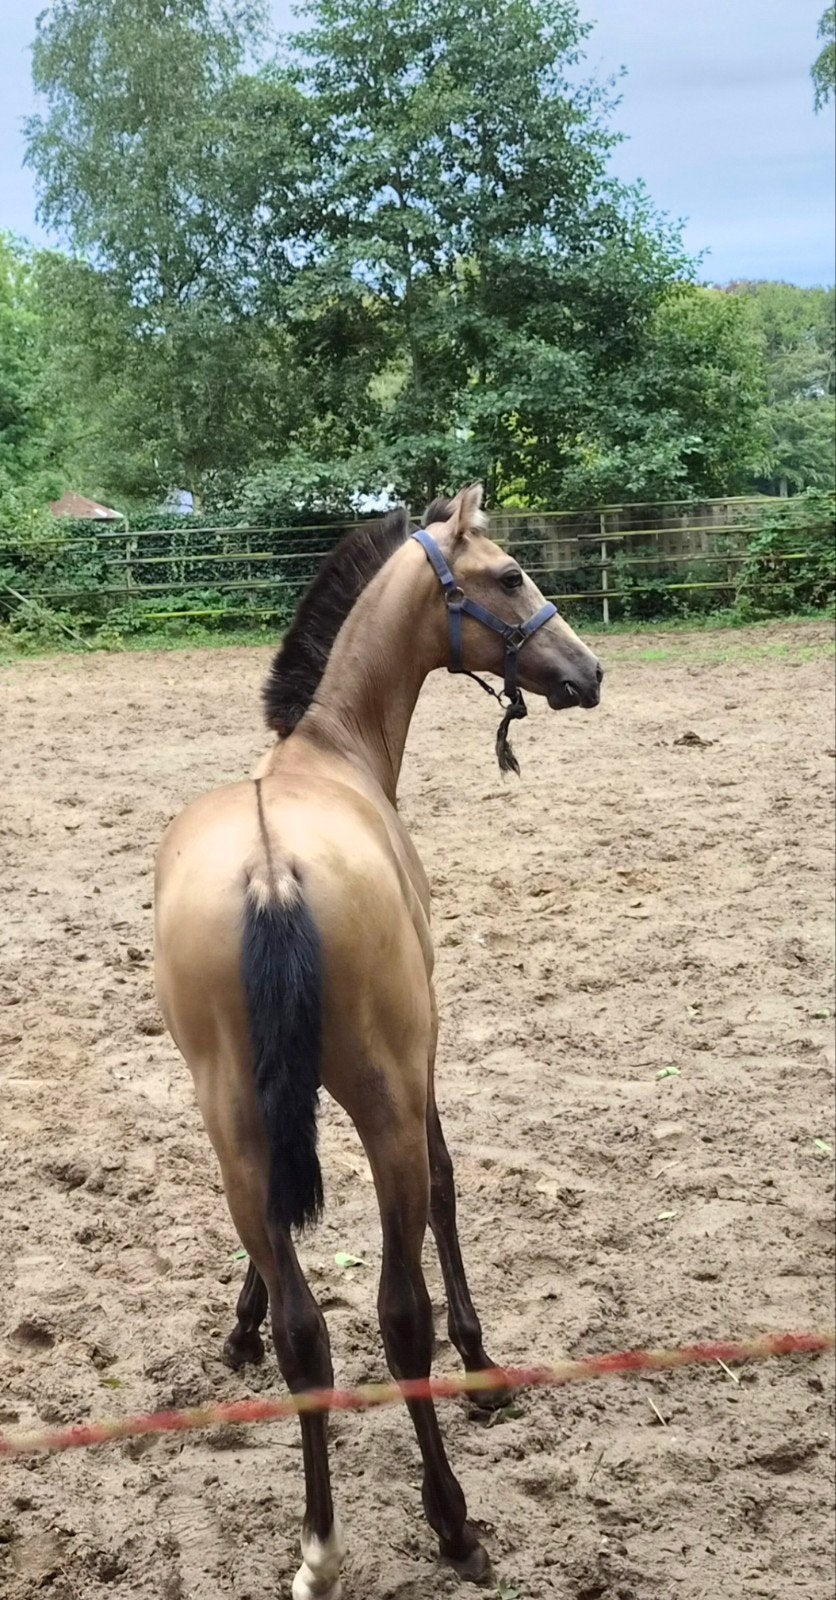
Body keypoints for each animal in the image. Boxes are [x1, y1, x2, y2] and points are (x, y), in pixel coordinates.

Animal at [154, 483, 602, 1598]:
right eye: (507, 574)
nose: (587, 672)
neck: (330, 753)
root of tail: (272, 869)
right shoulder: (420, 1060)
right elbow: (446, 1187)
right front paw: (483, 1363)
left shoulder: (277, 1111)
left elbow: (275, 1265)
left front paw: (234, 1326)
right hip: (382, 1098)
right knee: (398, 1317)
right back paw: (452, 1523)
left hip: (233, 1120)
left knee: (304, 1334)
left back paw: (318, 1543)